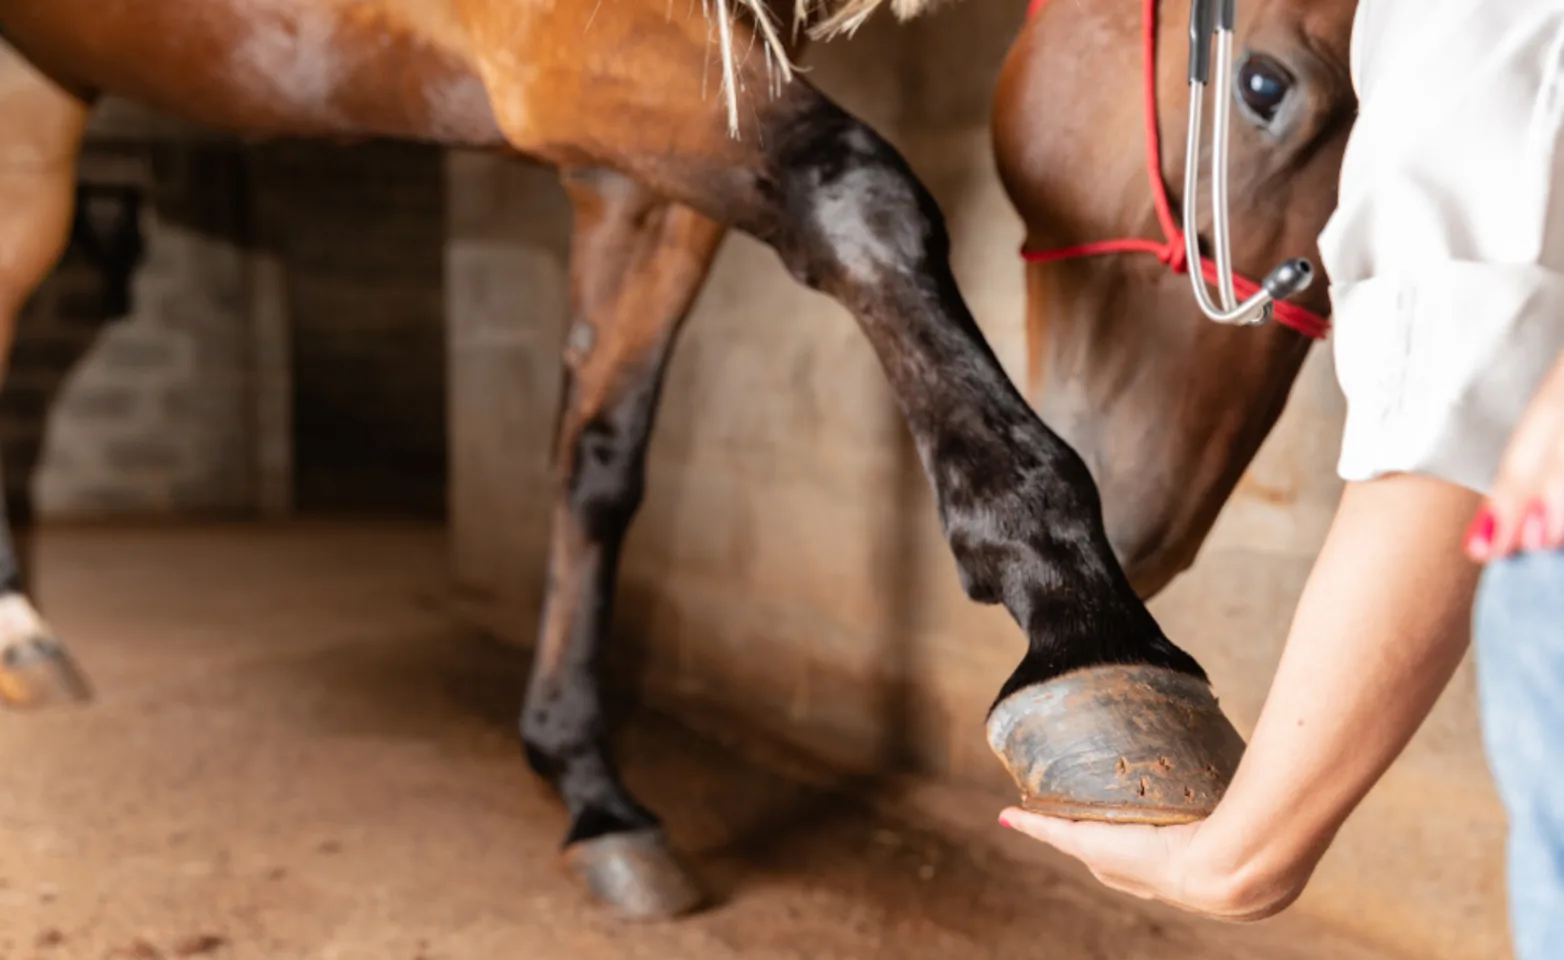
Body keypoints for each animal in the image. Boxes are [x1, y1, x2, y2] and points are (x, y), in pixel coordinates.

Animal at [0, 0, 1351, 925]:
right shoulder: (580, 57)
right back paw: (21, 634)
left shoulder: (643, 169)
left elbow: (597, 461)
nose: (1153, 521)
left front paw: (586, 785)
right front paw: (1086, 624)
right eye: (1265, 87)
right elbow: (857, 196)